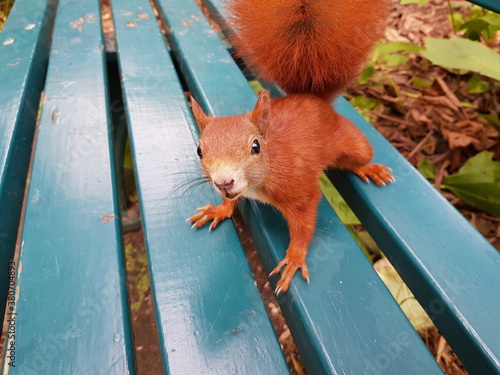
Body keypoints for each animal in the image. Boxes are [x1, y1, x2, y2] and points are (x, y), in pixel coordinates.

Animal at [188, 0, 394, 294]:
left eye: (255, 146)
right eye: (199, 151)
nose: (223, 182)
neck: (260, 179)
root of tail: (313, 98)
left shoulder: (300, 191)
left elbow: (304, 225)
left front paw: (295, 257)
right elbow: (233, 200)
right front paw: (220, 209)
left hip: (351, 141)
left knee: (359, 156)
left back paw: (370, 168)